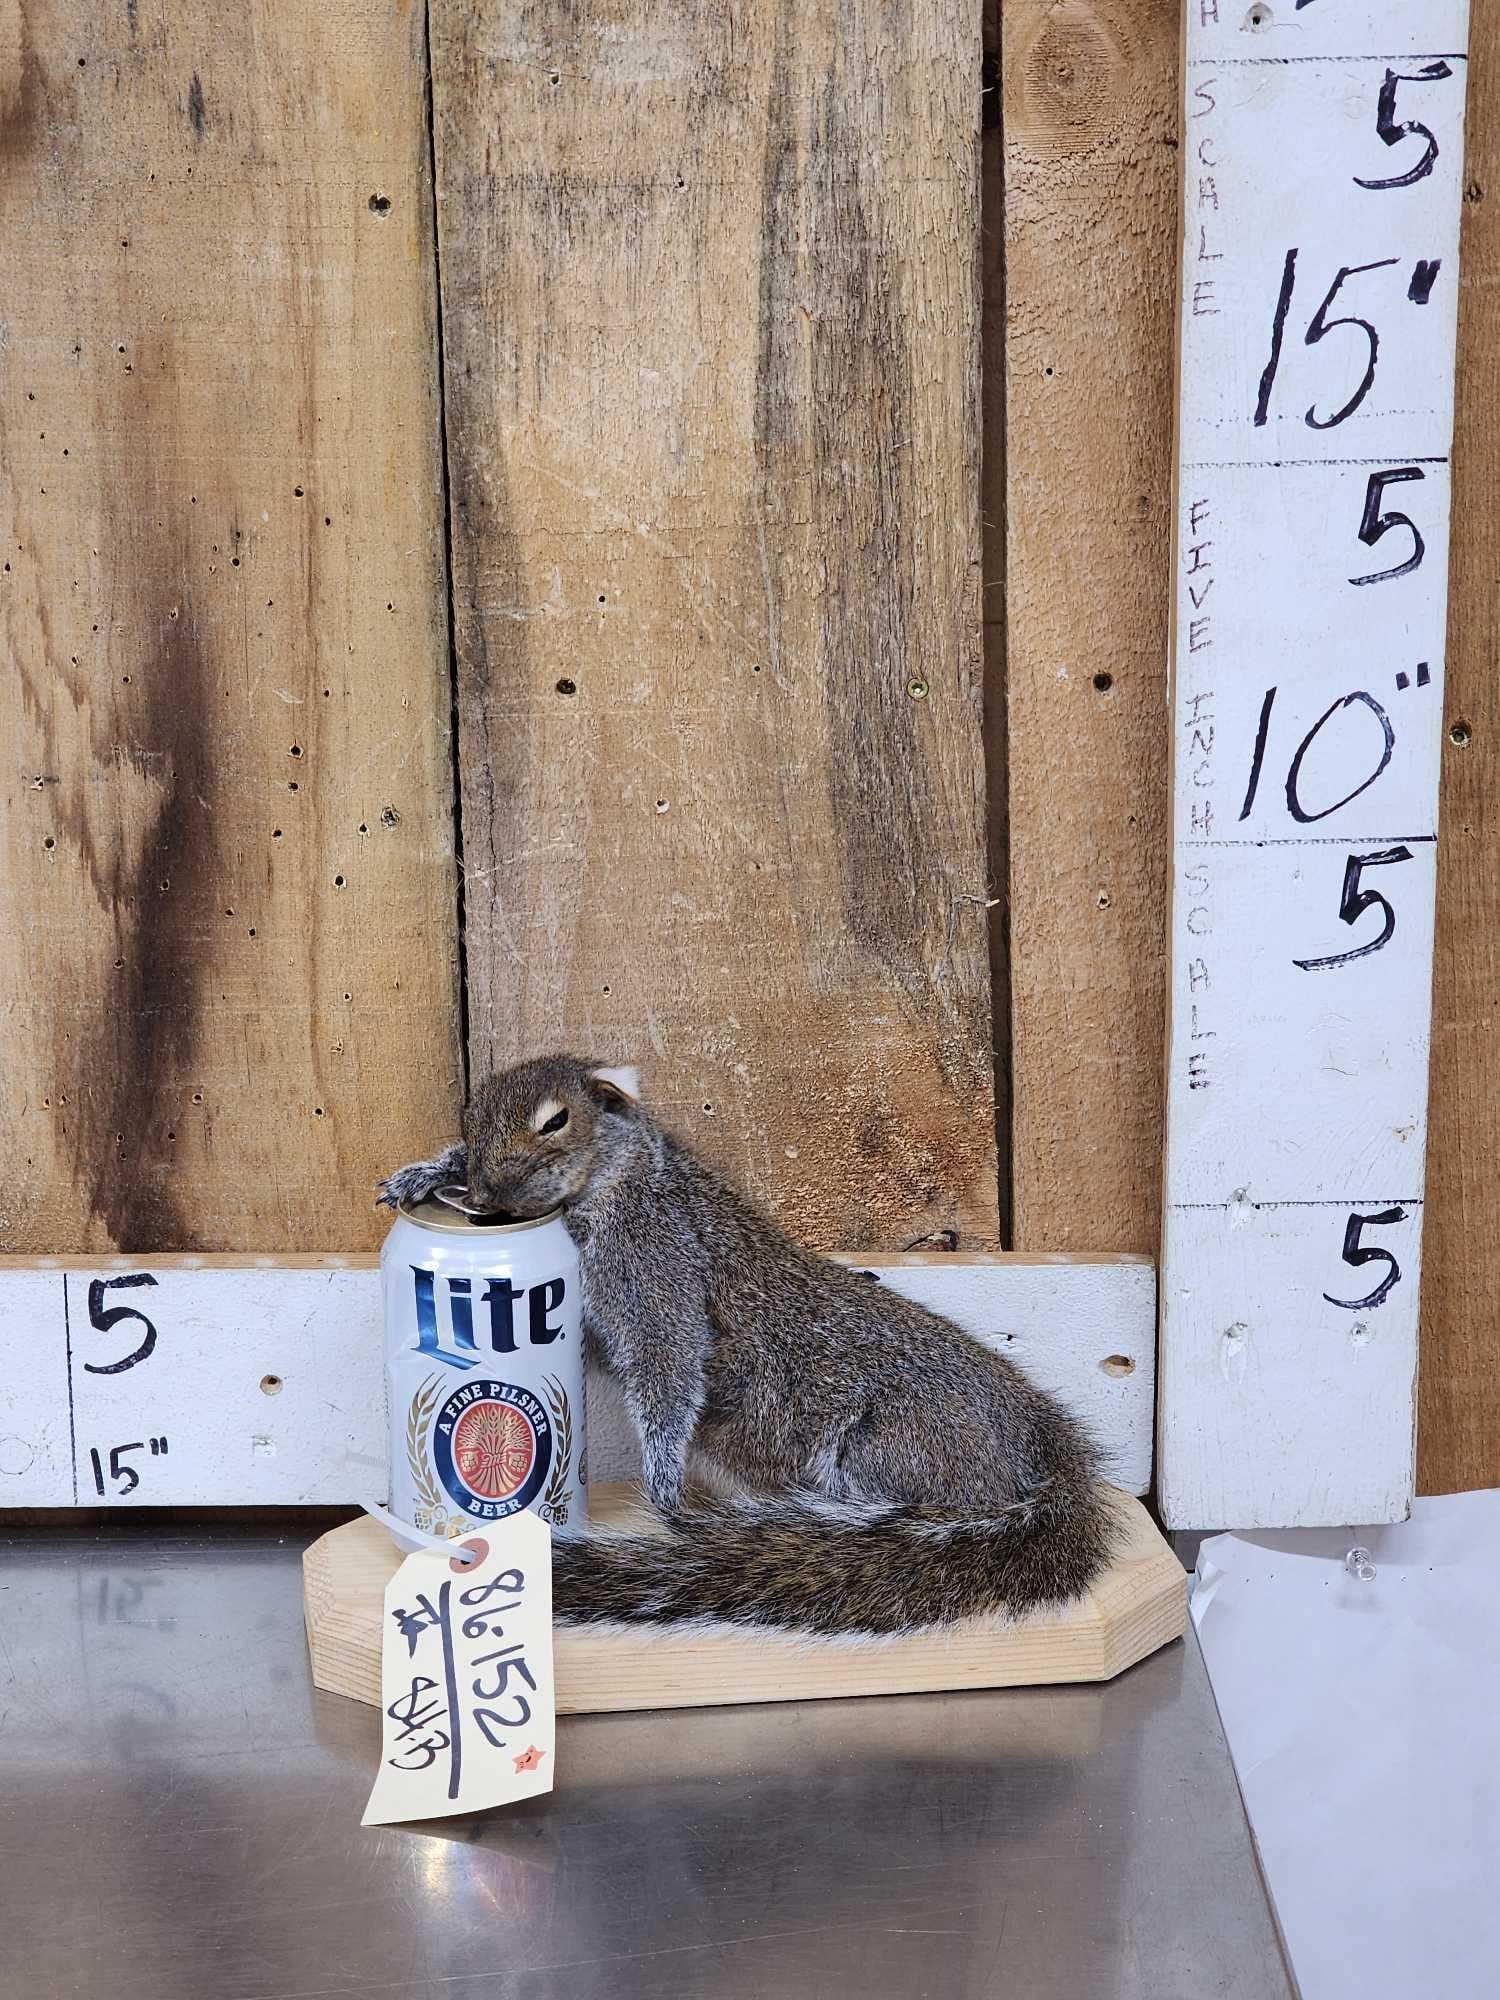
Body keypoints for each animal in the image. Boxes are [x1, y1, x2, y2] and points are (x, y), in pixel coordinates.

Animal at [377, 1054, 1117, 1637]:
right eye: (472, 1118)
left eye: (556, 1121)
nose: (483, 1195)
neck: (620, 1177)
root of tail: (1038, 1445)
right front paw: (426, 1173)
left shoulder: (654, 1258)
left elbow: (668, 1366)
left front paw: (663, 1487)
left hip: (890, 1446)